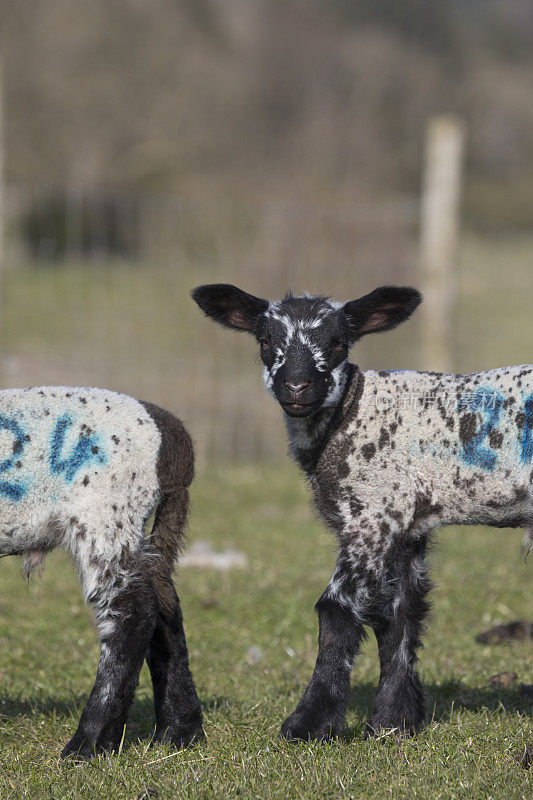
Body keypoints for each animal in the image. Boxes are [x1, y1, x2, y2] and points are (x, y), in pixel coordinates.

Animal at [192, 284, 532, 740]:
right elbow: (401, 616)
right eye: (264, 340)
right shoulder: (407, 524)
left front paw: (309, 723)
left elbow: (337, 609)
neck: (350, 414)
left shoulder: (372, 514)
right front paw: (394, 721)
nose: (296, 386)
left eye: (339, 342)